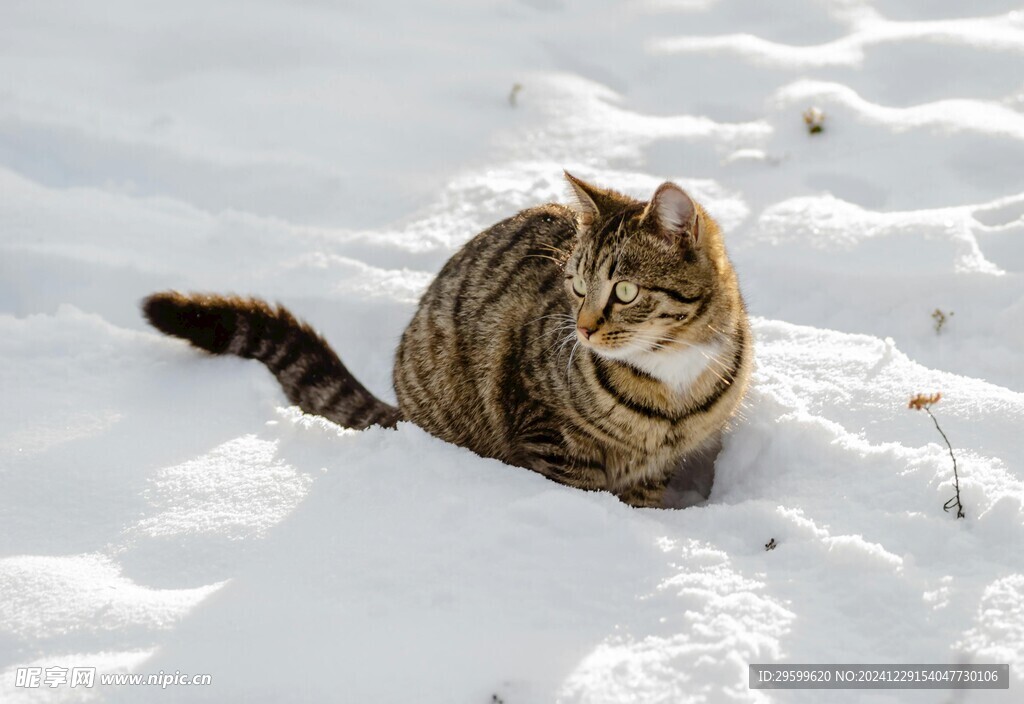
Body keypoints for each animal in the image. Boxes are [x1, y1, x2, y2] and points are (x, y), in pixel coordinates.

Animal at [142, 172, 753, 509]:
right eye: (576, 286)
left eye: (624, 290)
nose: (581, 328)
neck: (672, 376)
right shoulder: (547, 432)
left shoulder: (658, 466)